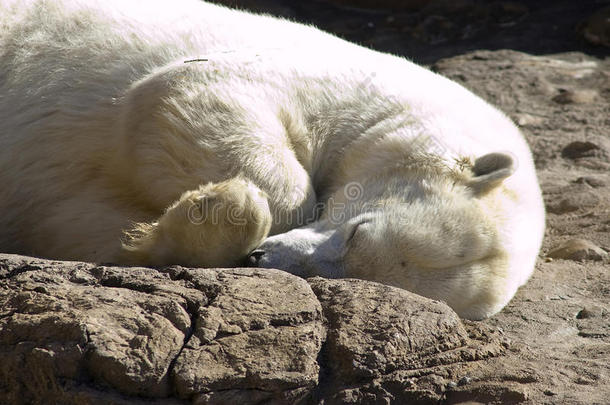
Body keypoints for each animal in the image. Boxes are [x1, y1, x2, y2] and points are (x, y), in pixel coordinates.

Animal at [0, 0, 540, 318]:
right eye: (357, 230)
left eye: (365, 280)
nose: (260, 259)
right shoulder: (319, 82)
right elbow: (188, 91)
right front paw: (237, 203)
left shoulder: (57, 202)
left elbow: (82, 223)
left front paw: (204, 218)